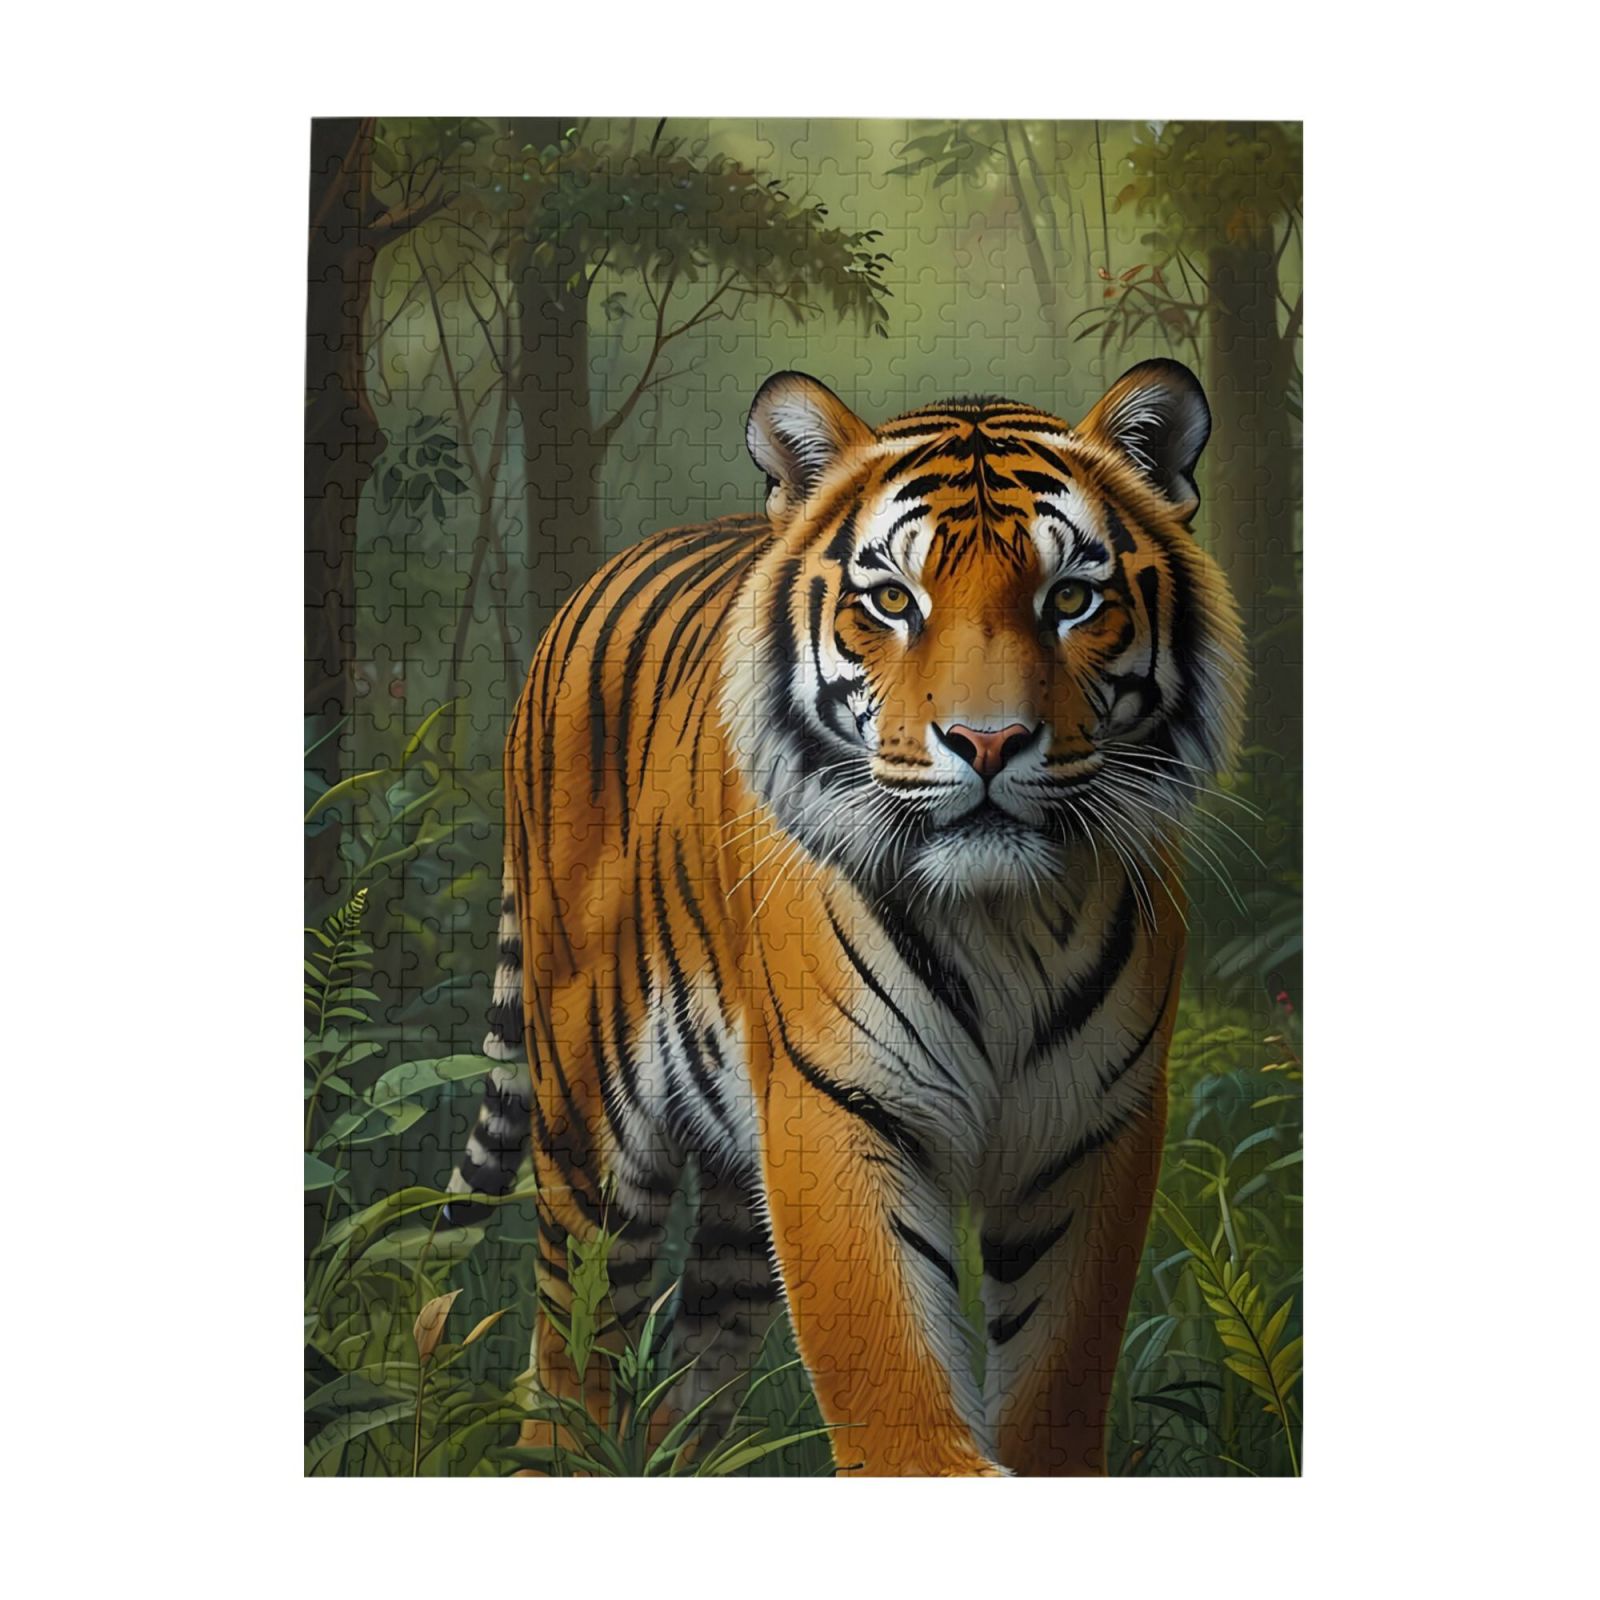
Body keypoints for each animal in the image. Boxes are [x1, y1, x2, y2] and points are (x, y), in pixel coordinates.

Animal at [444, 358, 1246, 1476]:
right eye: (892, 600)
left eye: (1072, 599)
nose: (987, 742)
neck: (1002, 920)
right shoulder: (837, 1109)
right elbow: (891, 1377)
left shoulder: (1095, 1127)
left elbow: (1057, 1373)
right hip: (588, 1129)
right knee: (569, 1360)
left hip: (738, 1196)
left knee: (686, 1381)